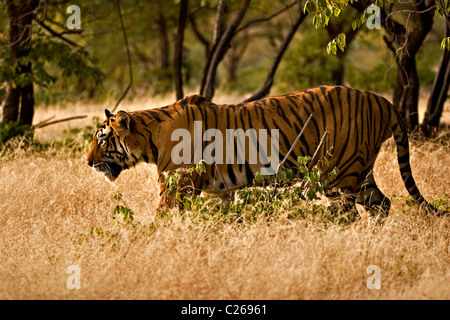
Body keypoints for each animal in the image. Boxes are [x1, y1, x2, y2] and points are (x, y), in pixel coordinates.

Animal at [86, 84, 444, 218]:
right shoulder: (220, 190)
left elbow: (160, 220)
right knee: (382, 204)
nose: (87, 163)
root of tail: (382, 100)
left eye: (101, 140)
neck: (149, 138)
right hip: (360, 169)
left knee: (348, 214)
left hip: (339, 175)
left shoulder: (177, 188)